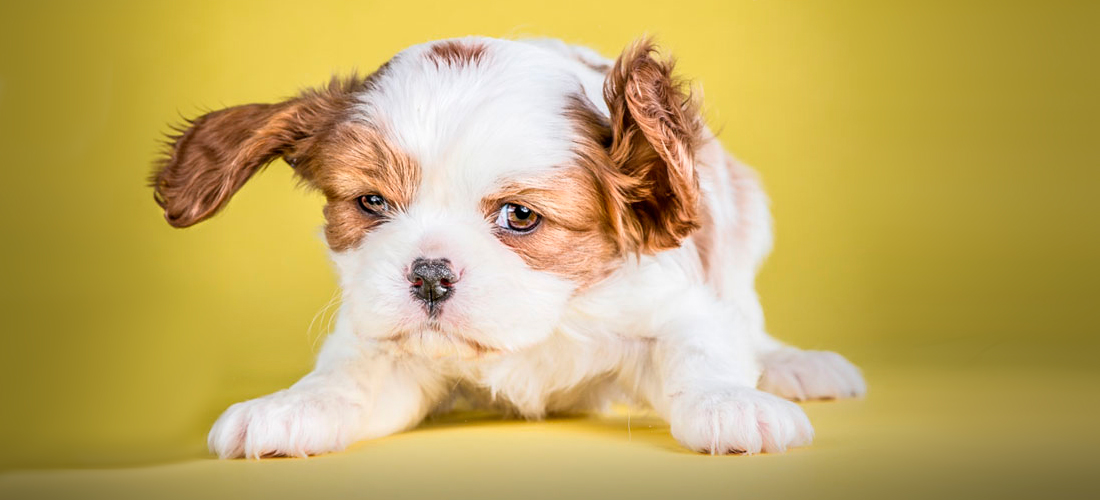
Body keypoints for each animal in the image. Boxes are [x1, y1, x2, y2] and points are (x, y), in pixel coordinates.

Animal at [150, 34, 866, 457]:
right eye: (372, 204)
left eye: (520, 217)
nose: (429, 275)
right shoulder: (383, 347)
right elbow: (347, 380)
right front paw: (292, 406)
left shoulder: (668, 299)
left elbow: (700, 347)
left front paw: (730, 403)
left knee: (748, 325)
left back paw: (793, 365)